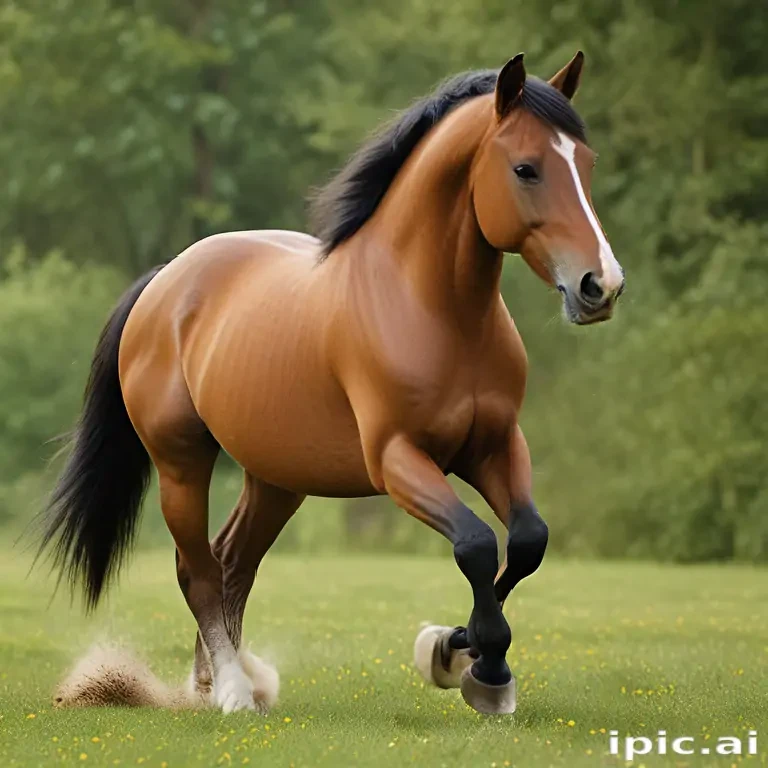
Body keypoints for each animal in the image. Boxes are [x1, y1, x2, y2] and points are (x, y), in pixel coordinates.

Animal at [38, 51, 624, 716]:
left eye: (586, 163)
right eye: (526, 168)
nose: (601, 285)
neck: (434, 311)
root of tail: (167, 281)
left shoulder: (496, 446)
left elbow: (527, 540)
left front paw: (460, 652)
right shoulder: (397, 460)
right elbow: (475, 544)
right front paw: (473, 666)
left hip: (276, 478)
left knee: (233, 562)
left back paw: (217, 683)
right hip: (181, 464)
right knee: (199, 570)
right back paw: (232, 692)